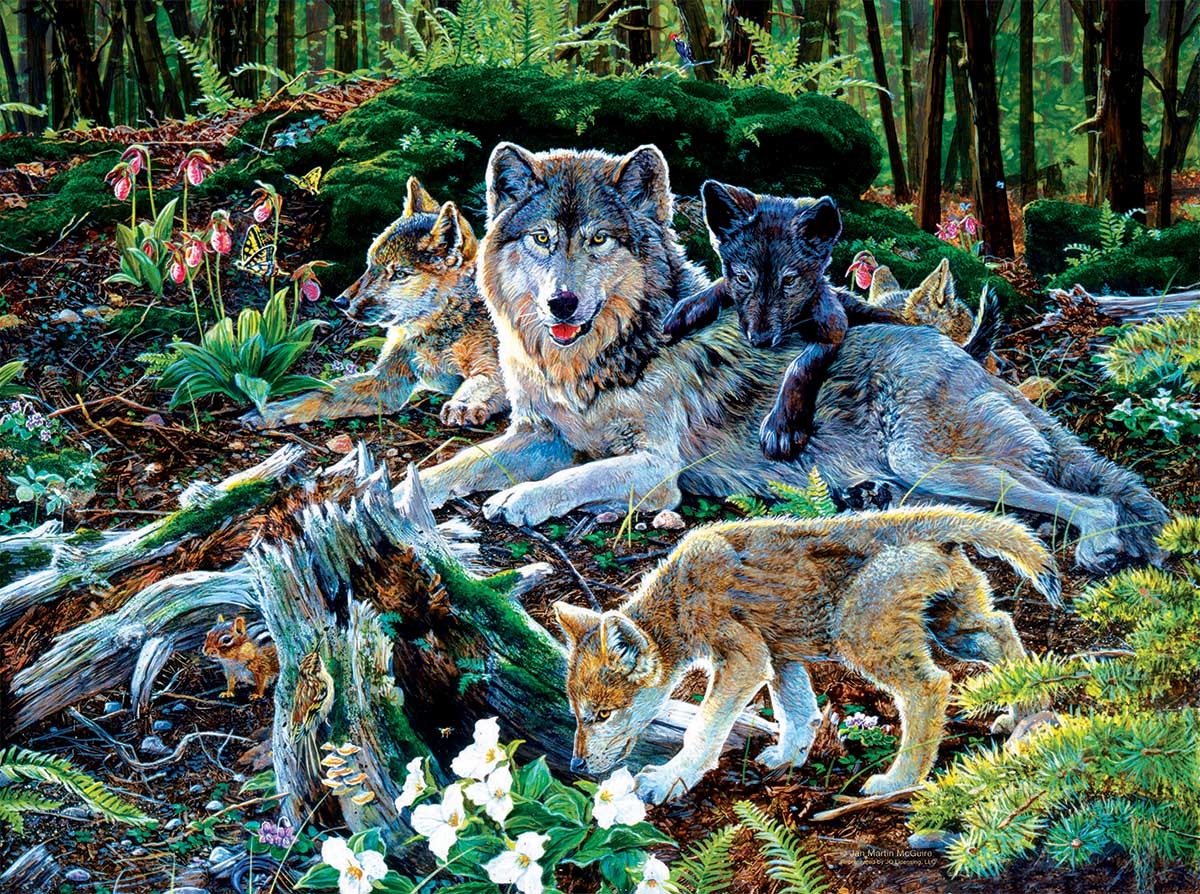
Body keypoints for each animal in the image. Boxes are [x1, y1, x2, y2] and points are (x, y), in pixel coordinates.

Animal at [247, 178, 508, 429]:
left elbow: (480, 383)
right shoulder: (386, 380)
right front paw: (267, 412)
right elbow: (320, 394)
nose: (340, 302)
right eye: (370, 264)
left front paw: (463, 403)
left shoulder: (493, 369)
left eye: (399, 274)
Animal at [413, 142, 1166, 572]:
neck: (588, 363)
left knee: (1088, 501)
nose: (562, 304)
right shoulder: (537, 434)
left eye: (598, 239)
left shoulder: (656, 468)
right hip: (933, 478)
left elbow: (571, 480)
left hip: (933, 460)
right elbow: (456, 468)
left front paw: (521, 498)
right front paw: (400, 495)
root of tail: (972, 361)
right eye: (543, 239)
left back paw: (1099, 547)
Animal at [554, 506, 1060, 803]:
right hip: (953, 623)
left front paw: (663, 782)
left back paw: (899, 782)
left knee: (931, 686)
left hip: (862, 636)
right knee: (1003, 631)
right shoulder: (777, 654)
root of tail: (928, 524)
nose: (576, 766)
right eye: (577, 713)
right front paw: (788, 758)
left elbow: (703, 729)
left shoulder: (743, 658)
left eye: (602, 714)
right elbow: (798, 712)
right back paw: (1026, 718)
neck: (678, 598)